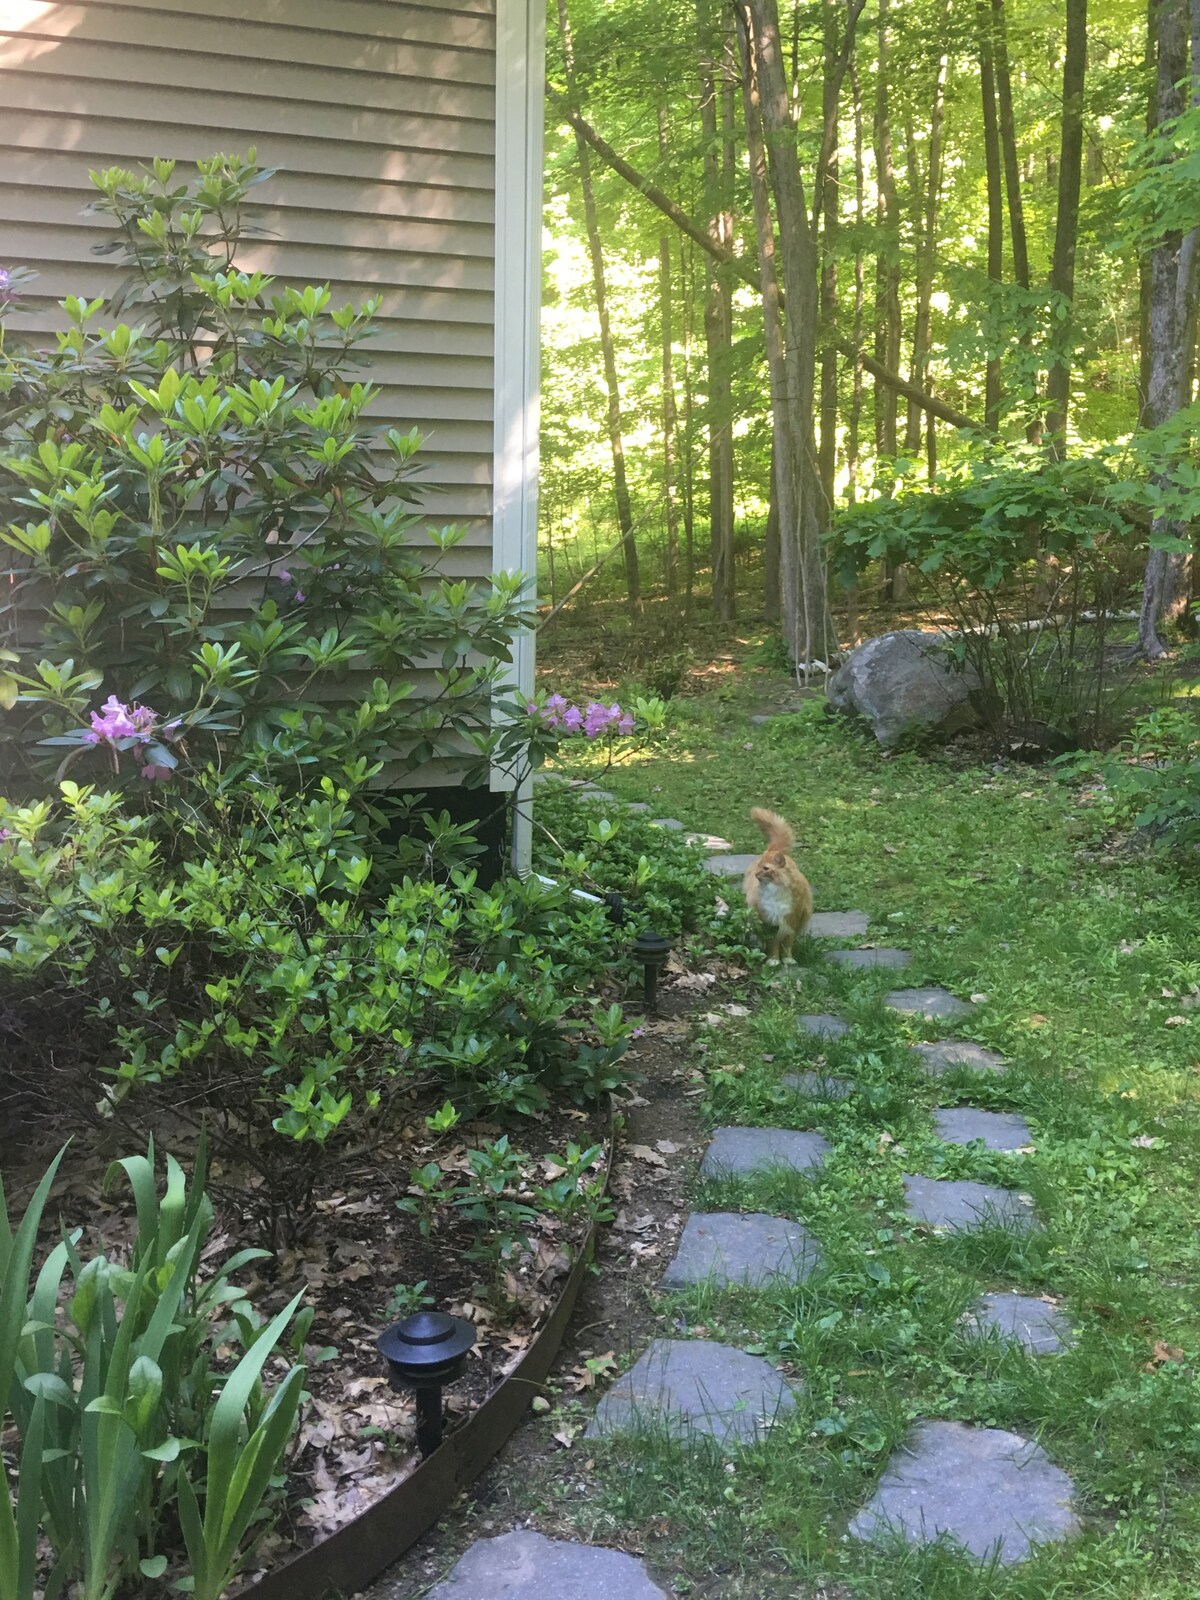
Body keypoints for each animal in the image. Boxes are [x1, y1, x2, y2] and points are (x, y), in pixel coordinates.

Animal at [742, 806, 819, 953]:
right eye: (759, 867)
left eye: (765, 868)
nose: (756, 874)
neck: (776, 890)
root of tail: (774, 849)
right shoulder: (769, 920)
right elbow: (773, 945)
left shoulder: (791, 920)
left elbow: (786, 946)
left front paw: (787, 958)